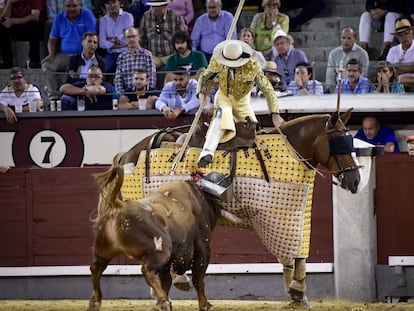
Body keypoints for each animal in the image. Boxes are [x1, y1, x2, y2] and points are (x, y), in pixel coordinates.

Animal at [89, 171, 222, 311]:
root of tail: (119, 205)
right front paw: (205, 305)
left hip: (103, 252)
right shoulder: (202, 247)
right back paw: (164, 302)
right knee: (147, 271)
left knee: (96, 268)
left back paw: (95, 302)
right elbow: (198, 279)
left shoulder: (168, 264)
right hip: (161, 252)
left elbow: (166, 282)